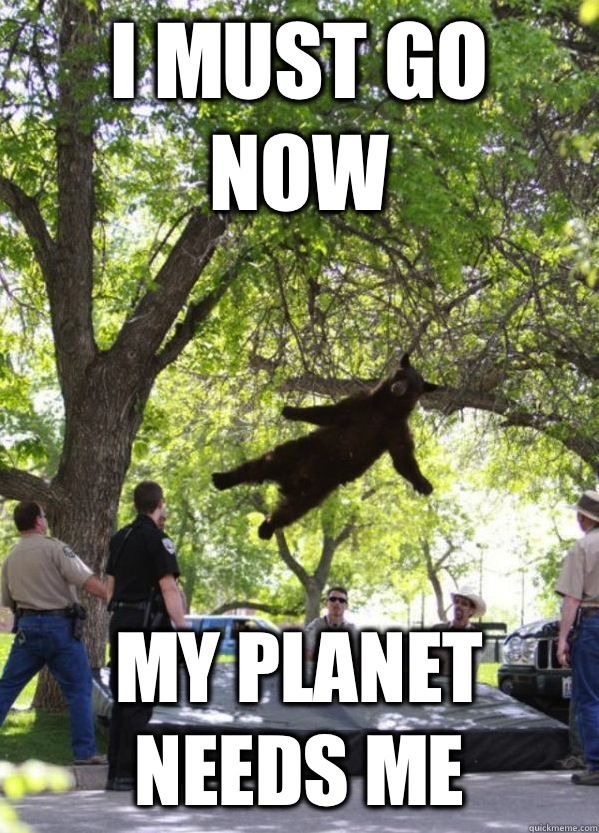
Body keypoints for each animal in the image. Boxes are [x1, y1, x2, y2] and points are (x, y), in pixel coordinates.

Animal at [212, 353, 439, 539]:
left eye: (413, 386)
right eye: (401, 374)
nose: (398, 388)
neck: (385, 409)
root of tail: (291, 481)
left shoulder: (394, 428)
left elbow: (403, 457)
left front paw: (423, 484)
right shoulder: (361, 405)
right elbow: (329, 412)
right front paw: (291, 410)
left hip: (318, 489)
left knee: (291, 511)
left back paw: (266, 527)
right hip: (298, 452)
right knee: (260, 465)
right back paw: (224, 478)